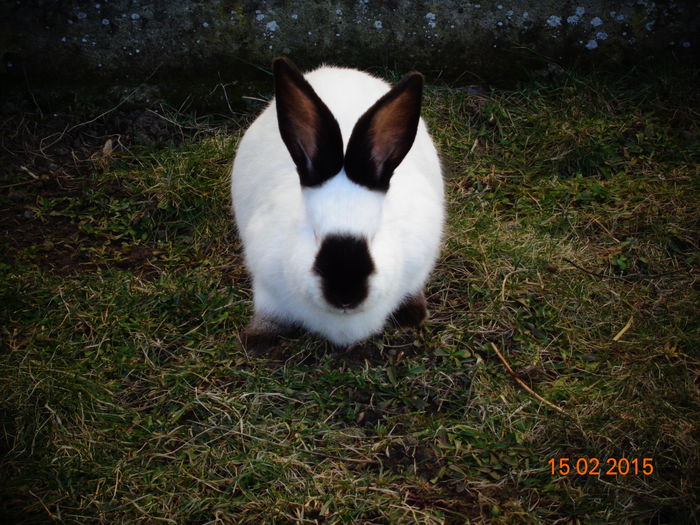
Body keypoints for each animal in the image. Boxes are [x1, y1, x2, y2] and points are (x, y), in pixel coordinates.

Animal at [232, 57, 446, 350]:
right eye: (313, 233)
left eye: (375, 235)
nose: (345, 295)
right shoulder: (266, 281)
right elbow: (269, 311)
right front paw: (257, 339)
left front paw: (413, 315)